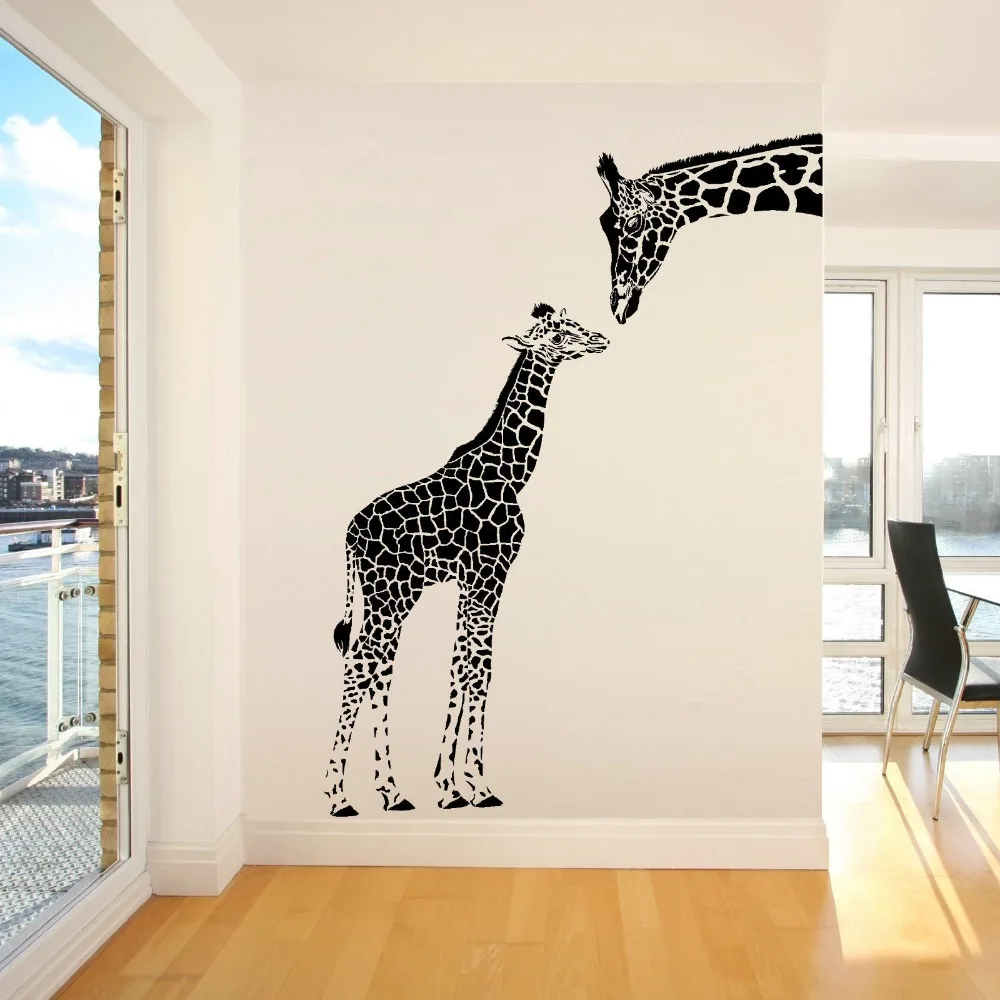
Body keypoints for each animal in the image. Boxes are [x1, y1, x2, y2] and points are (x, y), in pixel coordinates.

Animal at [325, 303, 610, 817]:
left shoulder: (472, 579)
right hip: (386, 593)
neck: (511, 474)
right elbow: (479, 666)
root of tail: (350, 535)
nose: (600, 339)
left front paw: (450, 786)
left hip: (397, 596)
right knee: (361, 664)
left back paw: (392, 792)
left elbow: (464, 661)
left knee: (379, 669)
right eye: (558, 334)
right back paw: (339, 796)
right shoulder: (490, 573)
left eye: (574, 323)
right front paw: (474, 786)